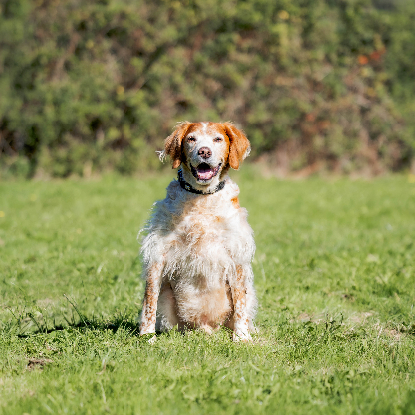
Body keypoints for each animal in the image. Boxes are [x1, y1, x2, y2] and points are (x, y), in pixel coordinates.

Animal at [139, 122, 257, 341]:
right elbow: (149, 302)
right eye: (191, 139)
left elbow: (240, 305)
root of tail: (205, 326)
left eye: (218, 139)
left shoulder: (236, 255)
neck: (202, 197)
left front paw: (242, 338)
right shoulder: (158, 253)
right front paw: (146, 336)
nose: (204, 151)